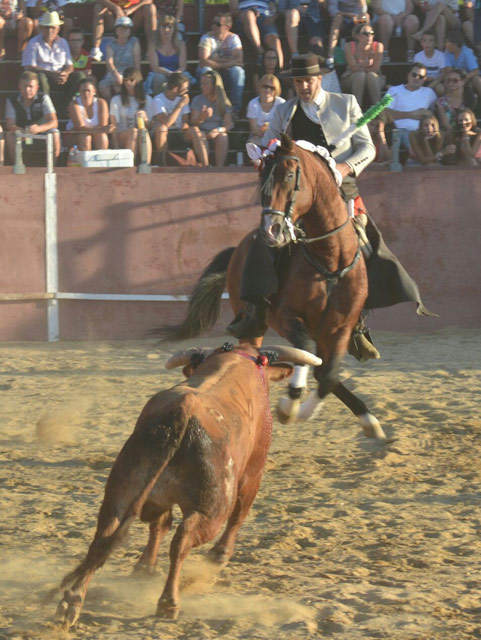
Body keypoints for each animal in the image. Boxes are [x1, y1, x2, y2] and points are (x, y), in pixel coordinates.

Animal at [55, 342, 318, 628]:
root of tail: (182, 414)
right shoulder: (253, 471)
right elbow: (239, 515)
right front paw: (219, 556)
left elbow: (158, 526)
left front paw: (144, 567)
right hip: (212, 510)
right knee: (183, 541)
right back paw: (169, 602)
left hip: (121, 492)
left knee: (105, 537)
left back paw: (71, 602)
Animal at [158, 135, 386, 440]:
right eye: (261, 178)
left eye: (289, 175)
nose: (271, 230)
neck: (330, 257)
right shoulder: (286, 317)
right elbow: (306, 352)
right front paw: (290, 405)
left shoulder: (341, 326)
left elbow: (328, 375)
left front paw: (306, 409)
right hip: (255, 324)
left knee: (321, 368)